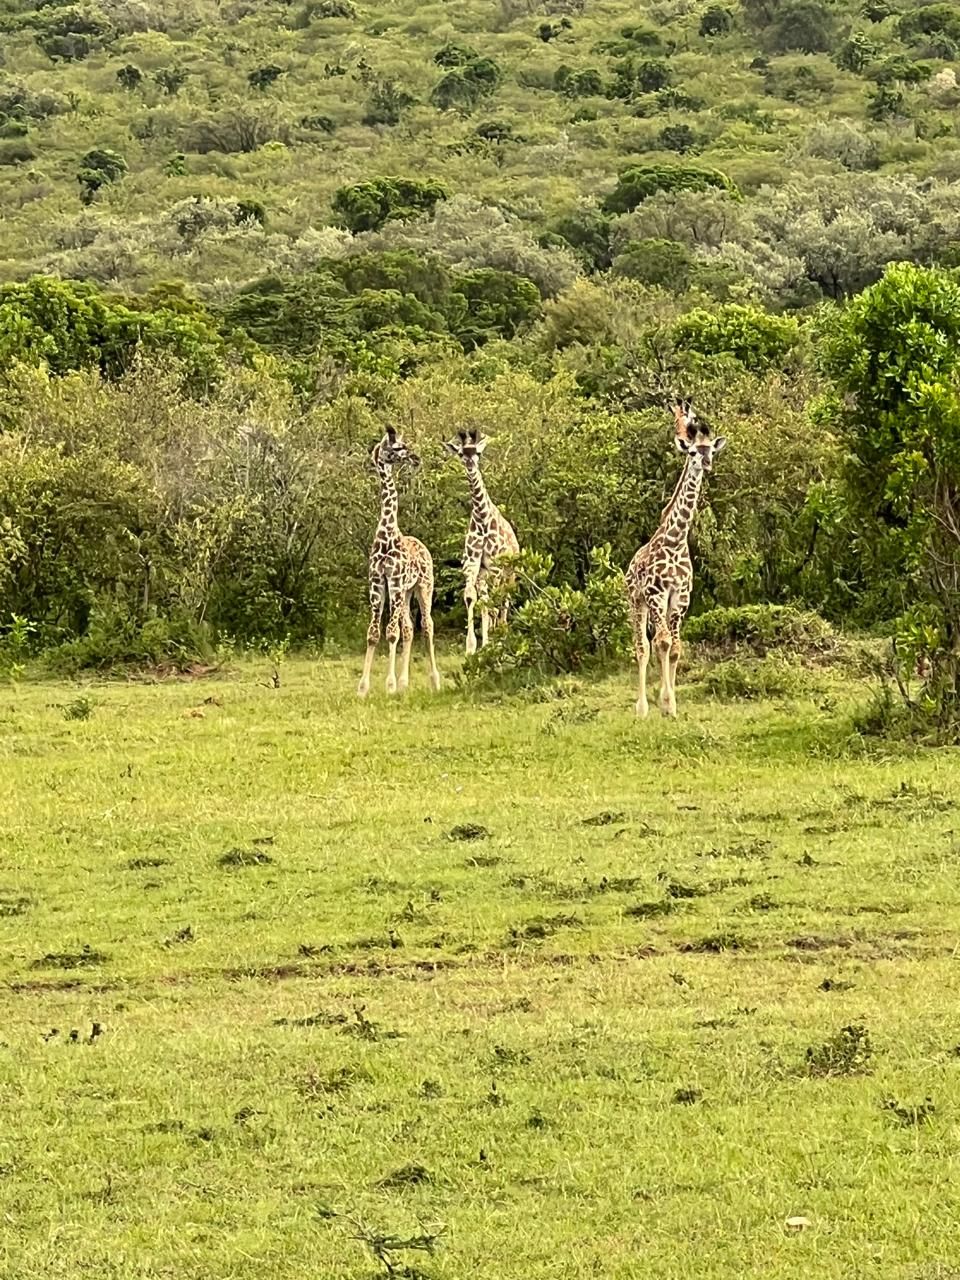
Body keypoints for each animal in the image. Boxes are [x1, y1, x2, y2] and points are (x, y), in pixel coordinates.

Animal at [357, 426, 441, 698]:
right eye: (396, 447)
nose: (415, 458)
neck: (387, 535)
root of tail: (425, 548)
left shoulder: (392, 581)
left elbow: (391, 633)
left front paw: (390, 685)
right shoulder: (377, 583)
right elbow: (374, 633)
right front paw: (363, 688)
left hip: (423, 587)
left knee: (427, 625)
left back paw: (435, 681)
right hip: (406, 593)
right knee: (409, 628)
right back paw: (405, 683)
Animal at [444, 428, 520, 655]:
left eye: (477, 452)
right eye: (461, 453)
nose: (470, 464)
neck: (482, 518)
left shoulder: (496, 565)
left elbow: (495, 602)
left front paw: (496, 643)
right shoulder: (472, 564)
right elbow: (472, 598)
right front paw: (472, 647)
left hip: (509, 572)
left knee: (504, 599)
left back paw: (502, 634)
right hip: (484, 573)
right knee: (488, 601)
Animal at [625, 401, 727, 718]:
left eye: (711, 450)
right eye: (692, 452)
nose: (706, 464)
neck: (676, 540)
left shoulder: (680, 597)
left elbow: (676, 647)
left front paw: (671, 705)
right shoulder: (656, 594)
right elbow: (663, 643)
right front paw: (665, 704)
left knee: (659, 644)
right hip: (636, 601)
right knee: (642, 646)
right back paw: (642, 707)